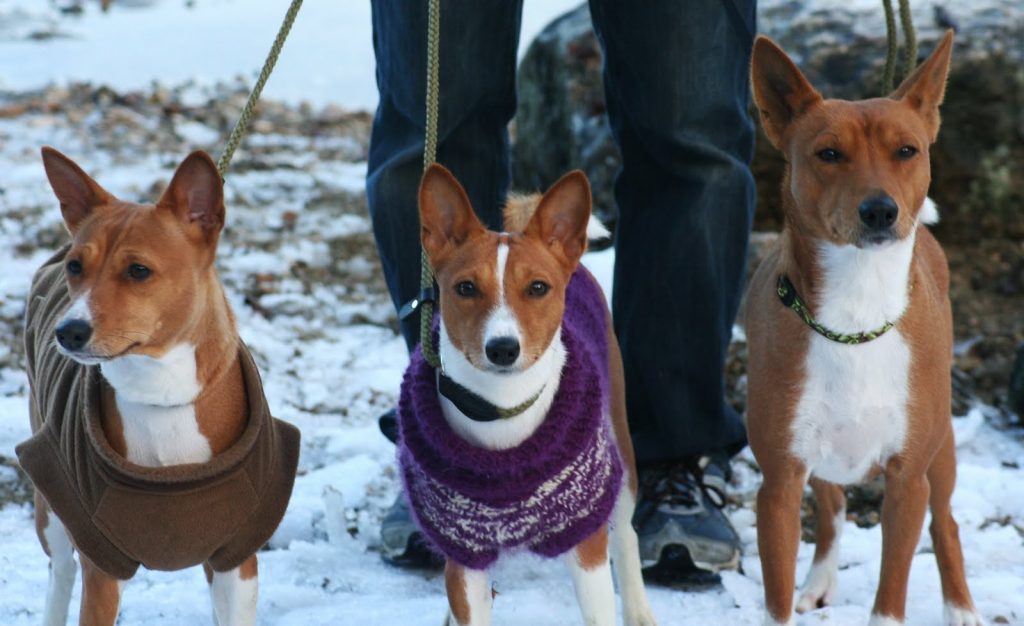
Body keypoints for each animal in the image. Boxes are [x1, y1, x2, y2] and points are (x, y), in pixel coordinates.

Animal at [16, 148, 299, 626]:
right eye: (76, 267)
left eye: (138, 270)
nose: (68, 332)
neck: (161, 396)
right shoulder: (102, 567)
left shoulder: (235, 561)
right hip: (51, 498)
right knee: (60, 573)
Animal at [395, 164, 659, 626]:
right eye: (465, 288)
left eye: (537, 288)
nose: (502, 348)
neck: (500, 409)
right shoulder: (465, 553)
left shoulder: (585, 540)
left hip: (620, 451)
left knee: (626, 533)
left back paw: (640, 610)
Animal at [745, 33, 983, 626]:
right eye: (828, 153)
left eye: (907, 151)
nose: (880, 210)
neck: (855, 312)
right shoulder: (779, 483)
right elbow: (778, 597)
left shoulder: (907, 482)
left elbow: (890, 596)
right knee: (831, 508)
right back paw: (819, 580)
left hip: (941, 451)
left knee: (946, 523)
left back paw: (961, 607)